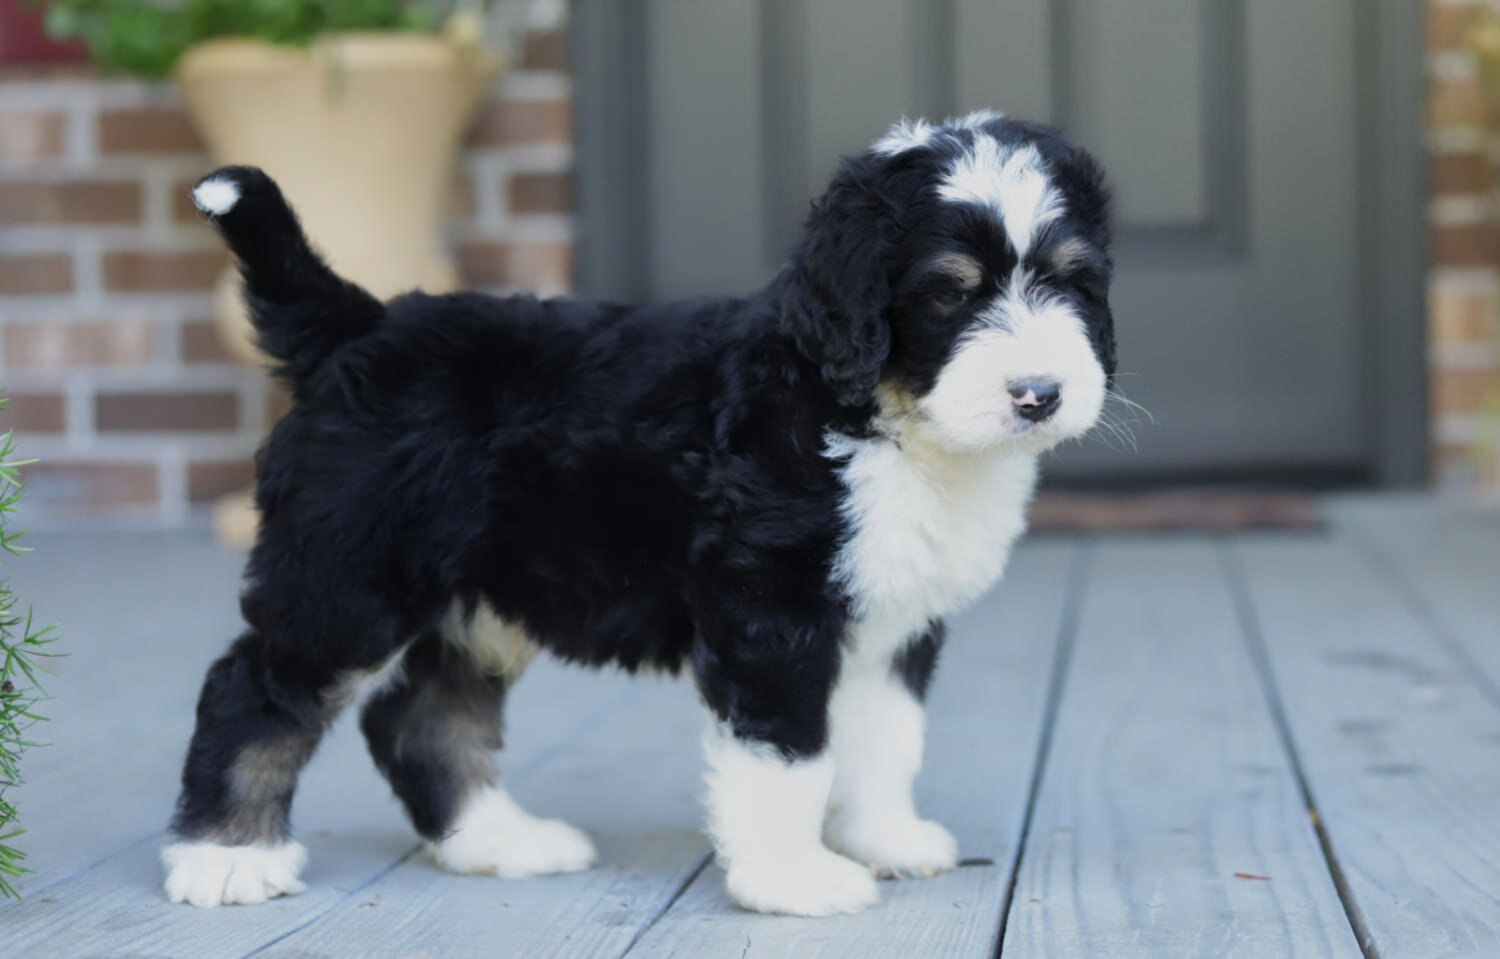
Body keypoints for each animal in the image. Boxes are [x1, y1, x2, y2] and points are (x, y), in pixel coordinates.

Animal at [164, 114, 1110, 924]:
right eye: (949, 295)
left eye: (1075, 282)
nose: (1039, 394)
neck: (871, 410)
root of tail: (359, 325)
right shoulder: (772, 614)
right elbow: (788, 757)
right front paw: (792, 879)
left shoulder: (893, 617)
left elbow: (886, 739)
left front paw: (885, 838)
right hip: (350, 576)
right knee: (256, 691)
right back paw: (227, 855)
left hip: (483, 595)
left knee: (420, 715)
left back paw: (500, 840)